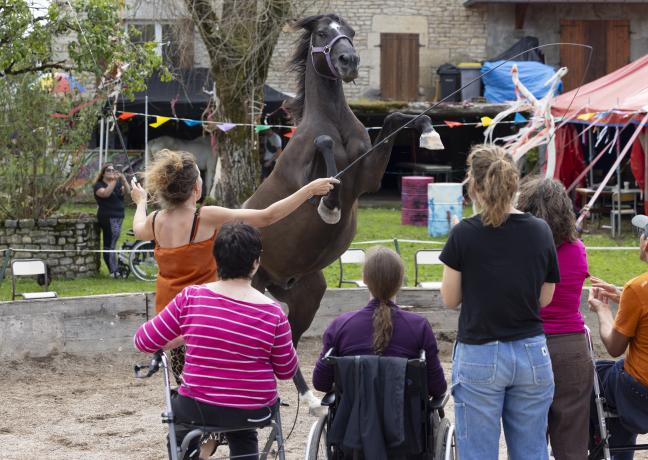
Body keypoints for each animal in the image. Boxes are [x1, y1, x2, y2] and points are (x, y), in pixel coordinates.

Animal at [244, 14, 437, 412]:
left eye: (348, 31)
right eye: (322, 33)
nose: (349, 61)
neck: (335, 121)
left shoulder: (369, 178)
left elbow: (395, 119)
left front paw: (429, 133)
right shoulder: (304, 179)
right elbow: (325, 147)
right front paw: (330, 205)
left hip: (306, 294)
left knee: (290, 346)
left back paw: (309, 399)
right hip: (255, 290)